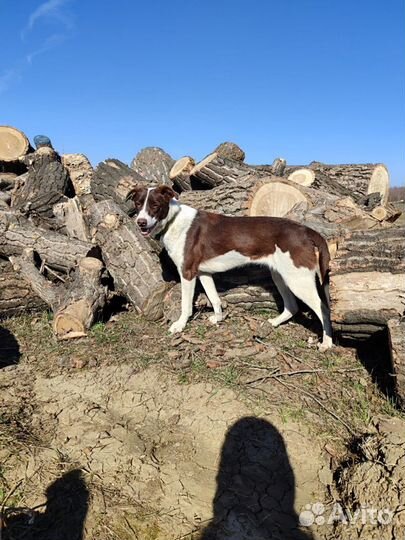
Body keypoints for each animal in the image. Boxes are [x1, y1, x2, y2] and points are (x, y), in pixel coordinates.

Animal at [128, 184, 332, 352]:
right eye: (138, 204)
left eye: (155, 205)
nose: (141, 222)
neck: (174, 220)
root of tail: (305, 230)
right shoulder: (203, 272)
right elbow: (214, 298)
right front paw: (218, 318)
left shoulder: (187, 272)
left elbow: (185, 305)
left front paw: (180, 325)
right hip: (281, 275)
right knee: (292, 306)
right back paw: (274, 323)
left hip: (297, 280)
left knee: (323, 307)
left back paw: (327, 342)